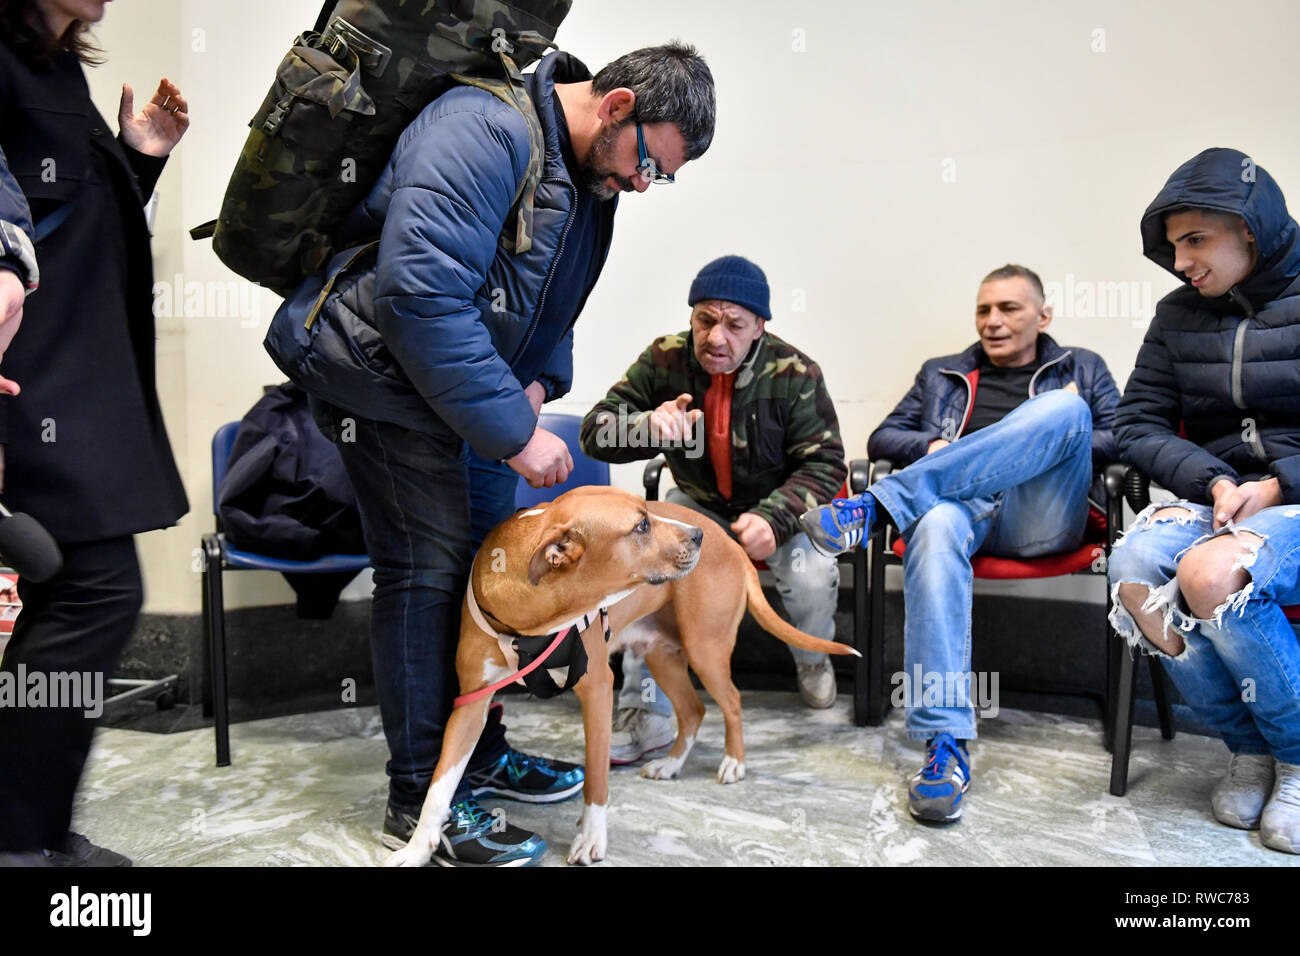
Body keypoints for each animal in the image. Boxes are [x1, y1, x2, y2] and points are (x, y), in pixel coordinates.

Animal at [379, 486, 857, 868]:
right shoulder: (472, 703)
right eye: (641, 525)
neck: (530, 621)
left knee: (732, 703)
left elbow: (596, 777)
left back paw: (733, 763)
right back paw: (670, 764)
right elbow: (439, 785)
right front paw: (418, 847)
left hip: (705, 648)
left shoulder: (597, 690)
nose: (696, 536)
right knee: (694, 710)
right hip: (664, 654)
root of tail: (731, 540)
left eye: (647, 512)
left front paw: (591, 836)